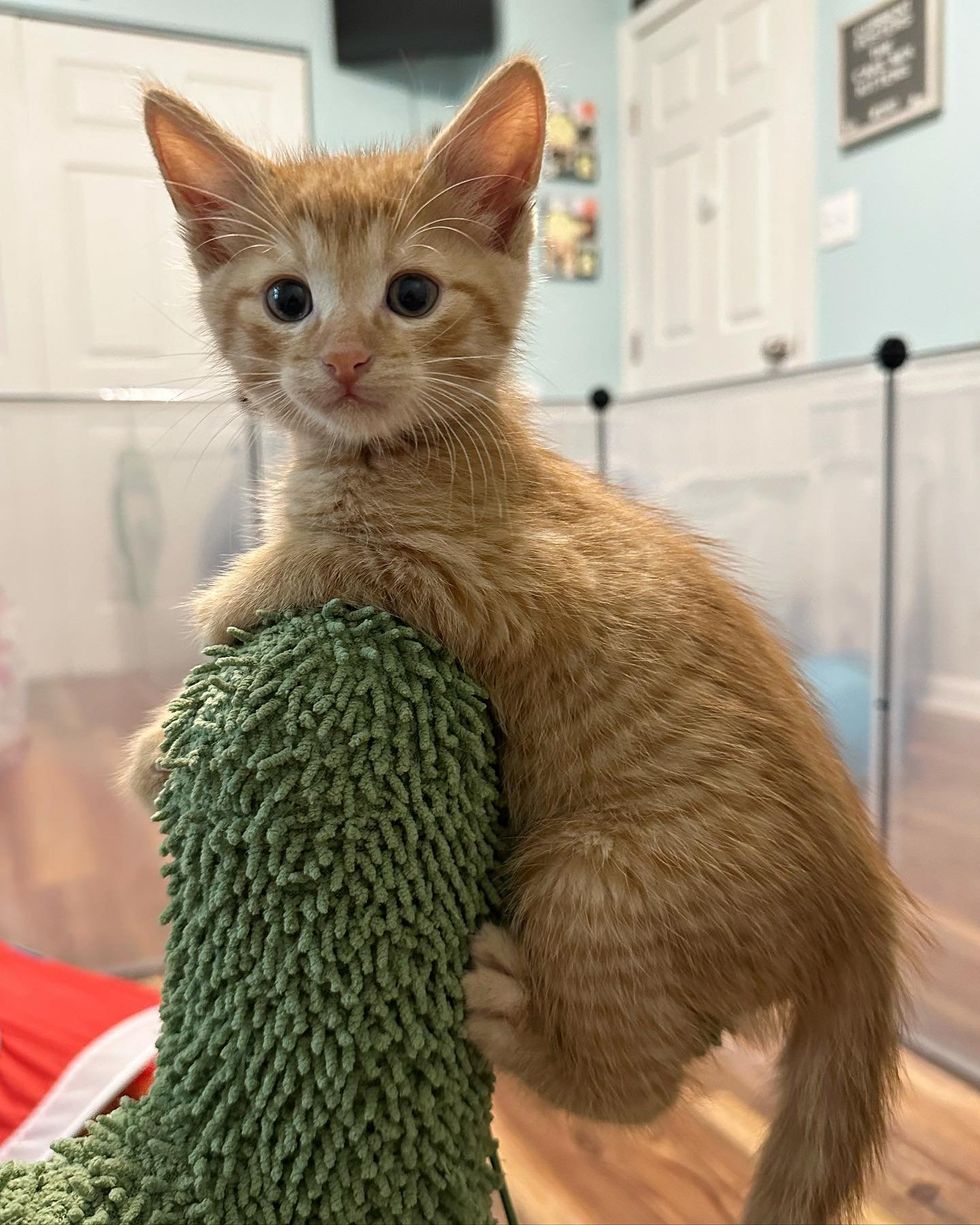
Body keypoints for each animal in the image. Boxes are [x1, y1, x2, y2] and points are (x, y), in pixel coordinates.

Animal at [129, 59, 911, 1225]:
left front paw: (191, 665)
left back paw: (514, 1015)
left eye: (411, 295)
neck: (401, 451)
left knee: (645, 1084)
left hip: (592, 879)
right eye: (286, 299)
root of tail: (860, 901)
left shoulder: (491, 582)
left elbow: (329, 558)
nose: (345, 359)